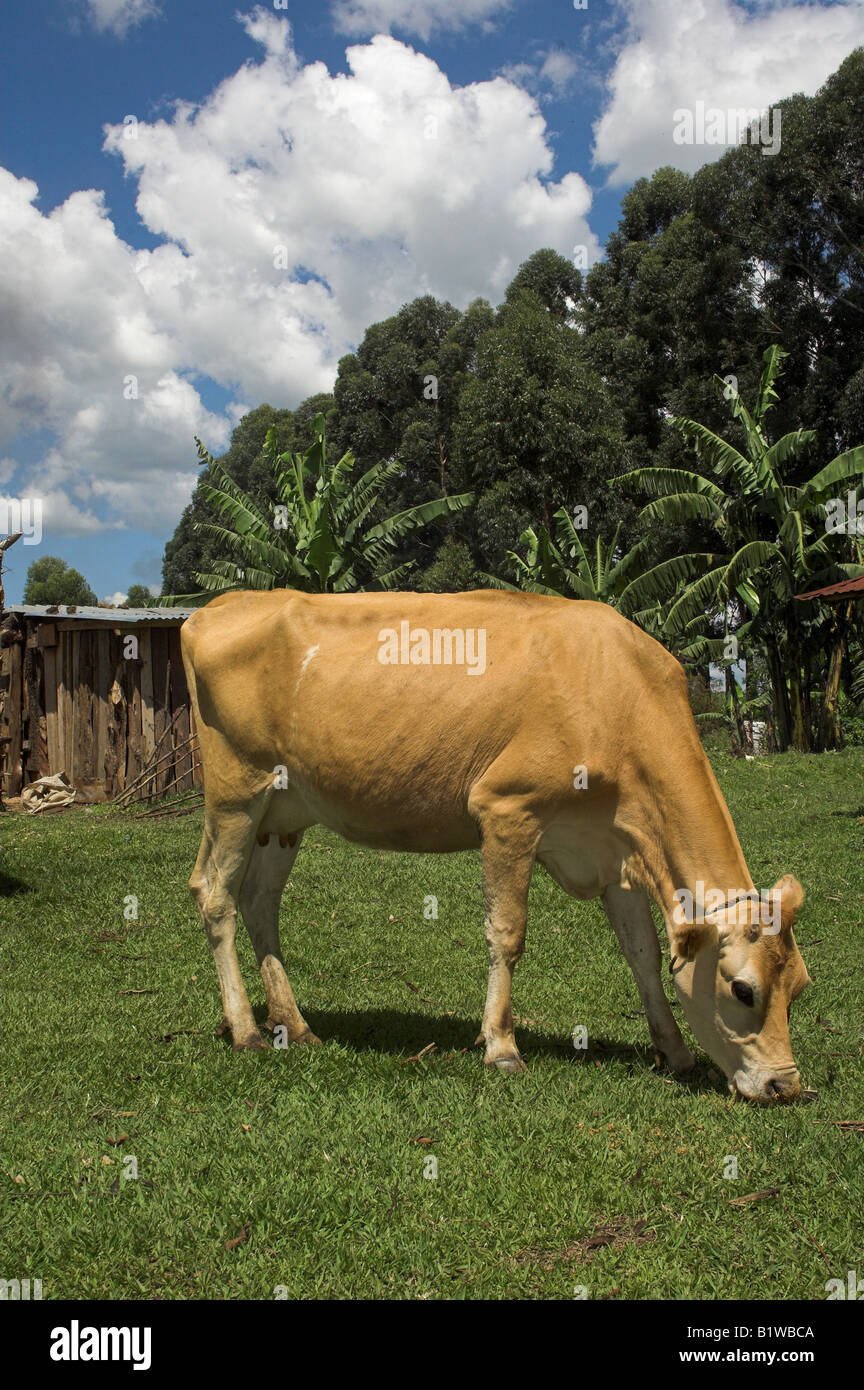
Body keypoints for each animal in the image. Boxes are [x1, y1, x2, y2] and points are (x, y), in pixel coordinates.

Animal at [181, 589, 810, 1104]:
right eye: (743, 990)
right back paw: (246, 1029)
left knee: (260, 901)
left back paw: (295, 1024)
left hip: (284, 814)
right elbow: (507, 933)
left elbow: (644, 953)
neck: (616, 695)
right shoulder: (508, 810)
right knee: (214, 892)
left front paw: (674, 1051)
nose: (784, 1086)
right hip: (236, 792)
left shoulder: (615, 850)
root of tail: (216, 607)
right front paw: (501, 1046)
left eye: (799, 988)